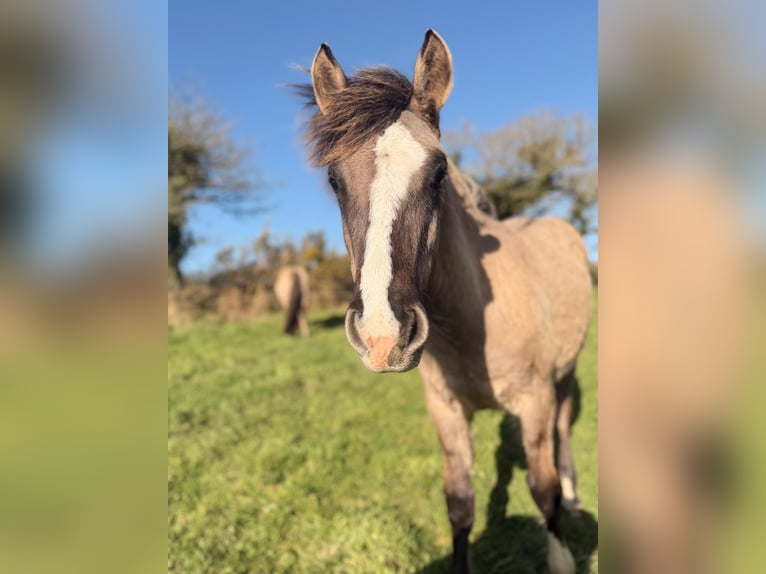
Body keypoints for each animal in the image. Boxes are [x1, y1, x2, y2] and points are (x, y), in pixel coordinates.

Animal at [296, 30, 592, 574]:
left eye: (438, 172)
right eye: (333, 180)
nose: (382, 337)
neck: (472, 325)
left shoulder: (535, 402)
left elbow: (542, 492)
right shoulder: (447, 411)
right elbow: (459, 504)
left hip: (567, 373)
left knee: (563, 433)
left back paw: (575, 493)